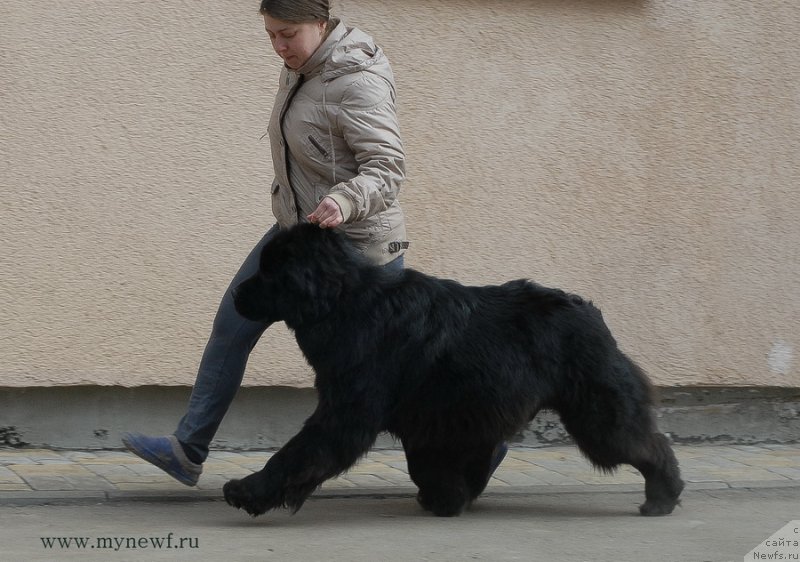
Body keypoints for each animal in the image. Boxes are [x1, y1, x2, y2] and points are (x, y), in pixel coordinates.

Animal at [222, 224, 684, 516]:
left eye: (269, 272)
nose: (236, 294)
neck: (345, 302)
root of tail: (589, 310)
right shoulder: (431, 422)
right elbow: (428, 466)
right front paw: (446, 501)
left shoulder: (347, 413)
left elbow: (295, 454)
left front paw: (249, 491)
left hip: (597, 415)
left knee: (649, 445)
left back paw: (663, 497)